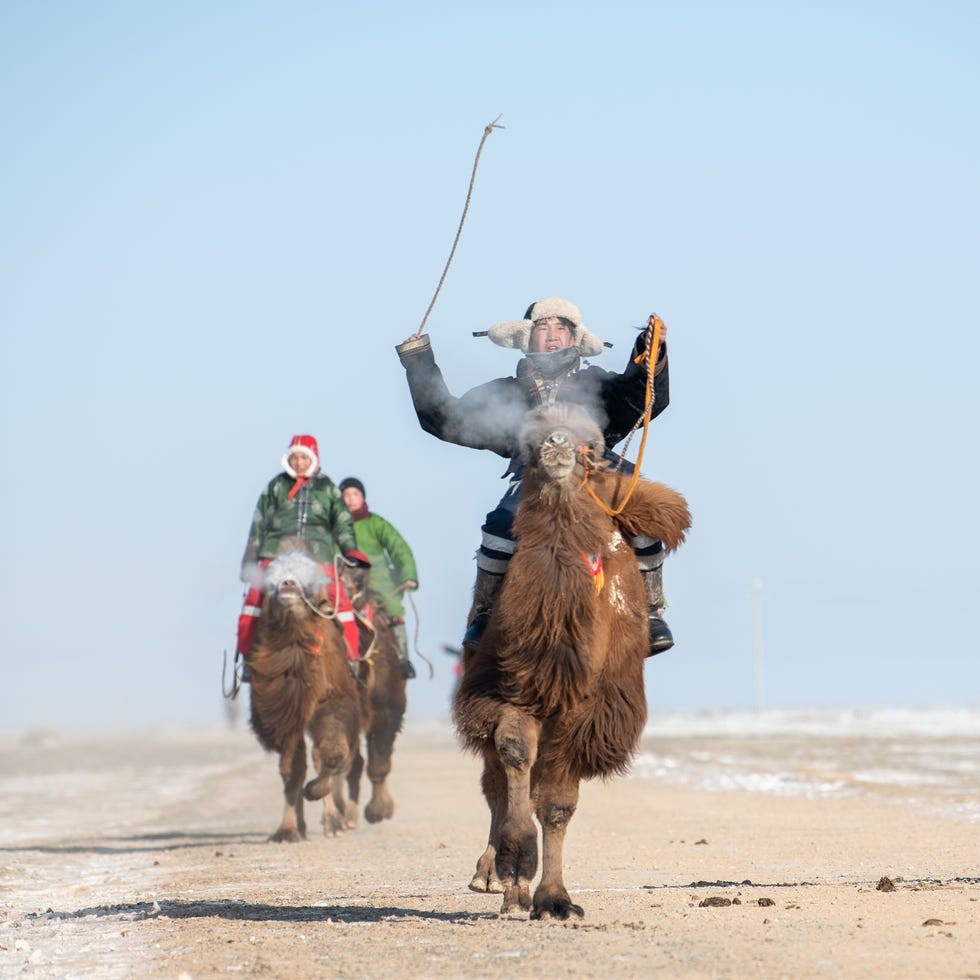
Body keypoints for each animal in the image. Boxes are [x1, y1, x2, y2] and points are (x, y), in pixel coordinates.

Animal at [248, 545, 361, 841]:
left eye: (307, 582)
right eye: (272, 581)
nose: (288, 583)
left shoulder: (332, 698)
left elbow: (330, 753)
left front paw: (323, 807)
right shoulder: (285, 713)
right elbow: (292, 769)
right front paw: (287, 830)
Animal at [453, 403, 691, 919]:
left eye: (594, 446)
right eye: (526, 438)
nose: (557, 443)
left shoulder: (587, 711)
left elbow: (558, 804)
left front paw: (554, 900)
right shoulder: (509, 689)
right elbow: (513, 754)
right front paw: (516, 866)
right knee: (496, 781)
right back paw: (492, 877)